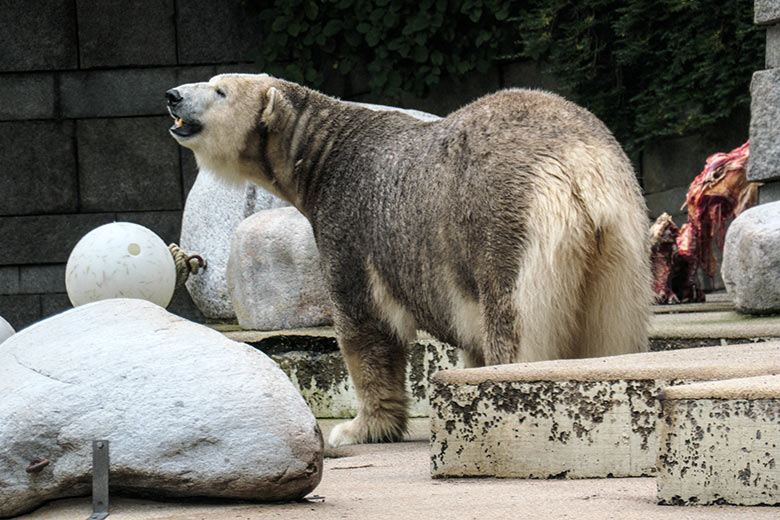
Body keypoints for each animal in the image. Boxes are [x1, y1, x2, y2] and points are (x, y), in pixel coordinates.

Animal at [166, 73, 652, 446]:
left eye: (220, 90)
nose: (173, 95)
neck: (324, 155)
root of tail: (575, 167)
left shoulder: (350, 226)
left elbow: (366, 328)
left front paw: (356, 429)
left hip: (505, 227)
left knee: (514, 324)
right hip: (621, 239)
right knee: (613, 332)